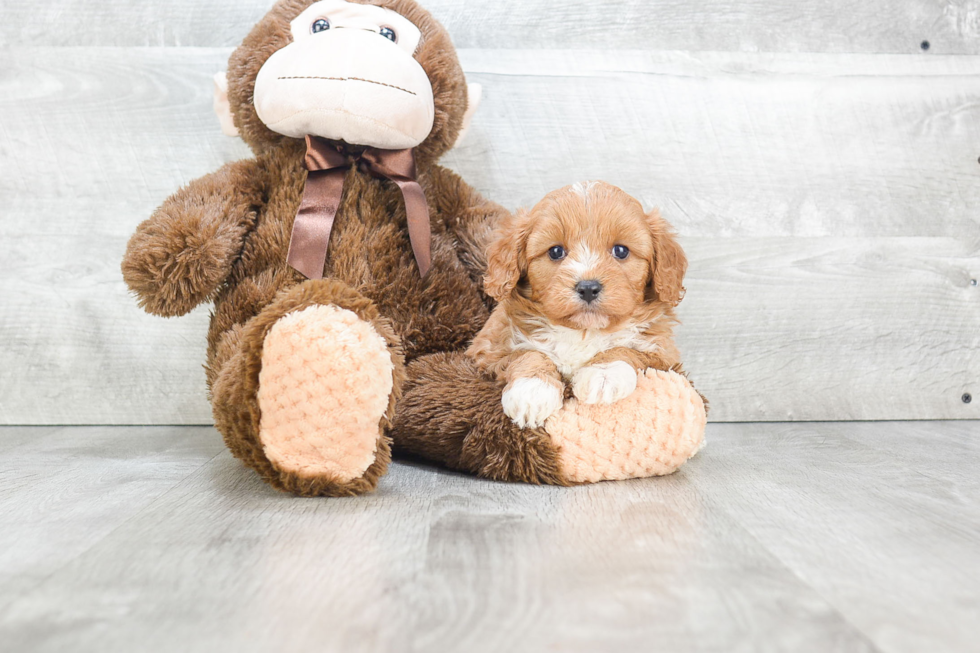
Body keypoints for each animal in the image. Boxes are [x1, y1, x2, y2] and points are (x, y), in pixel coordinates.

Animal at [468, 180, 688, 428]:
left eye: (621, 251)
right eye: (556, 251)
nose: (588, 288)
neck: (583, 331)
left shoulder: (665, 356)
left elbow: (626, 349)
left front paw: (604, 373)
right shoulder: (485, 352)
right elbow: (527, 354)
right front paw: (532, 390)